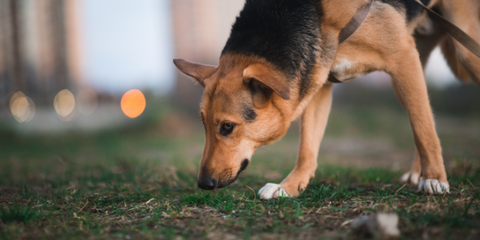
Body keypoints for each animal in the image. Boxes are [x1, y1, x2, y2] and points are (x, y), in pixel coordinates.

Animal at [172, 0, 480, 199]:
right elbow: (307, 148)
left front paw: (436, 179)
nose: (203, 184)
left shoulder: (401, 56)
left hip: (457, 52)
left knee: (423, 121)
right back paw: (418, 173)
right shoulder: (317, 82)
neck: (312, 13)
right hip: (407, 74)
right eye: (203, 125)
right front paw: (289, 187)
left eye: (227, 127)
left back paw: (428, 175)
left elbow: (424, 129)